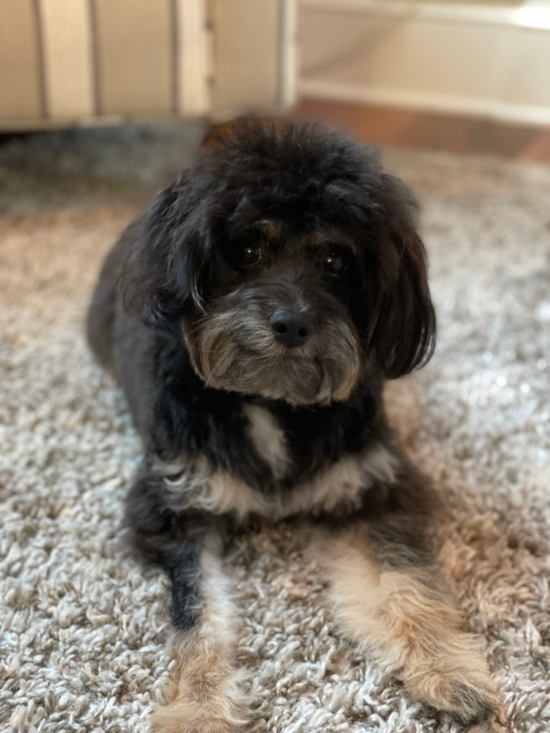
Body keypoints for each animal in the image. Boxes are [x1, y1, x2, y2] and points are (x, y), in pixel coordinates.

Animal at [86, 118, 500, 728]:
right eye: (247, 248)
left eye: (336, 260)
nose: (291, 323)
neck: (270, 401)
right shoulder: (174, 512)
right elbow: (199, 616)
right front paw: (200, 707)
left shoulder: (374, 491)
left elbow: (404, 580)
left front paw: (448, 668)